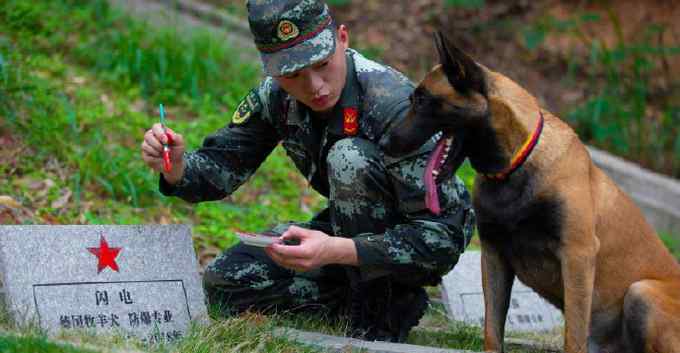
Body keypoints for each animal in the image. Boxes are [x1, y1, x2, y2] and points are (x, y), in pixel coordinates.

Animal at [380, 31, 680, 352]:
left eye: (422, 100)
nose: (384, 143)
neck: (515, 165)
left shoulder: (577, 256)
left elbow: (574, 336)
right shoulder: (493, 256)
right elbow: (492, 330)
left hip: (641, 292)